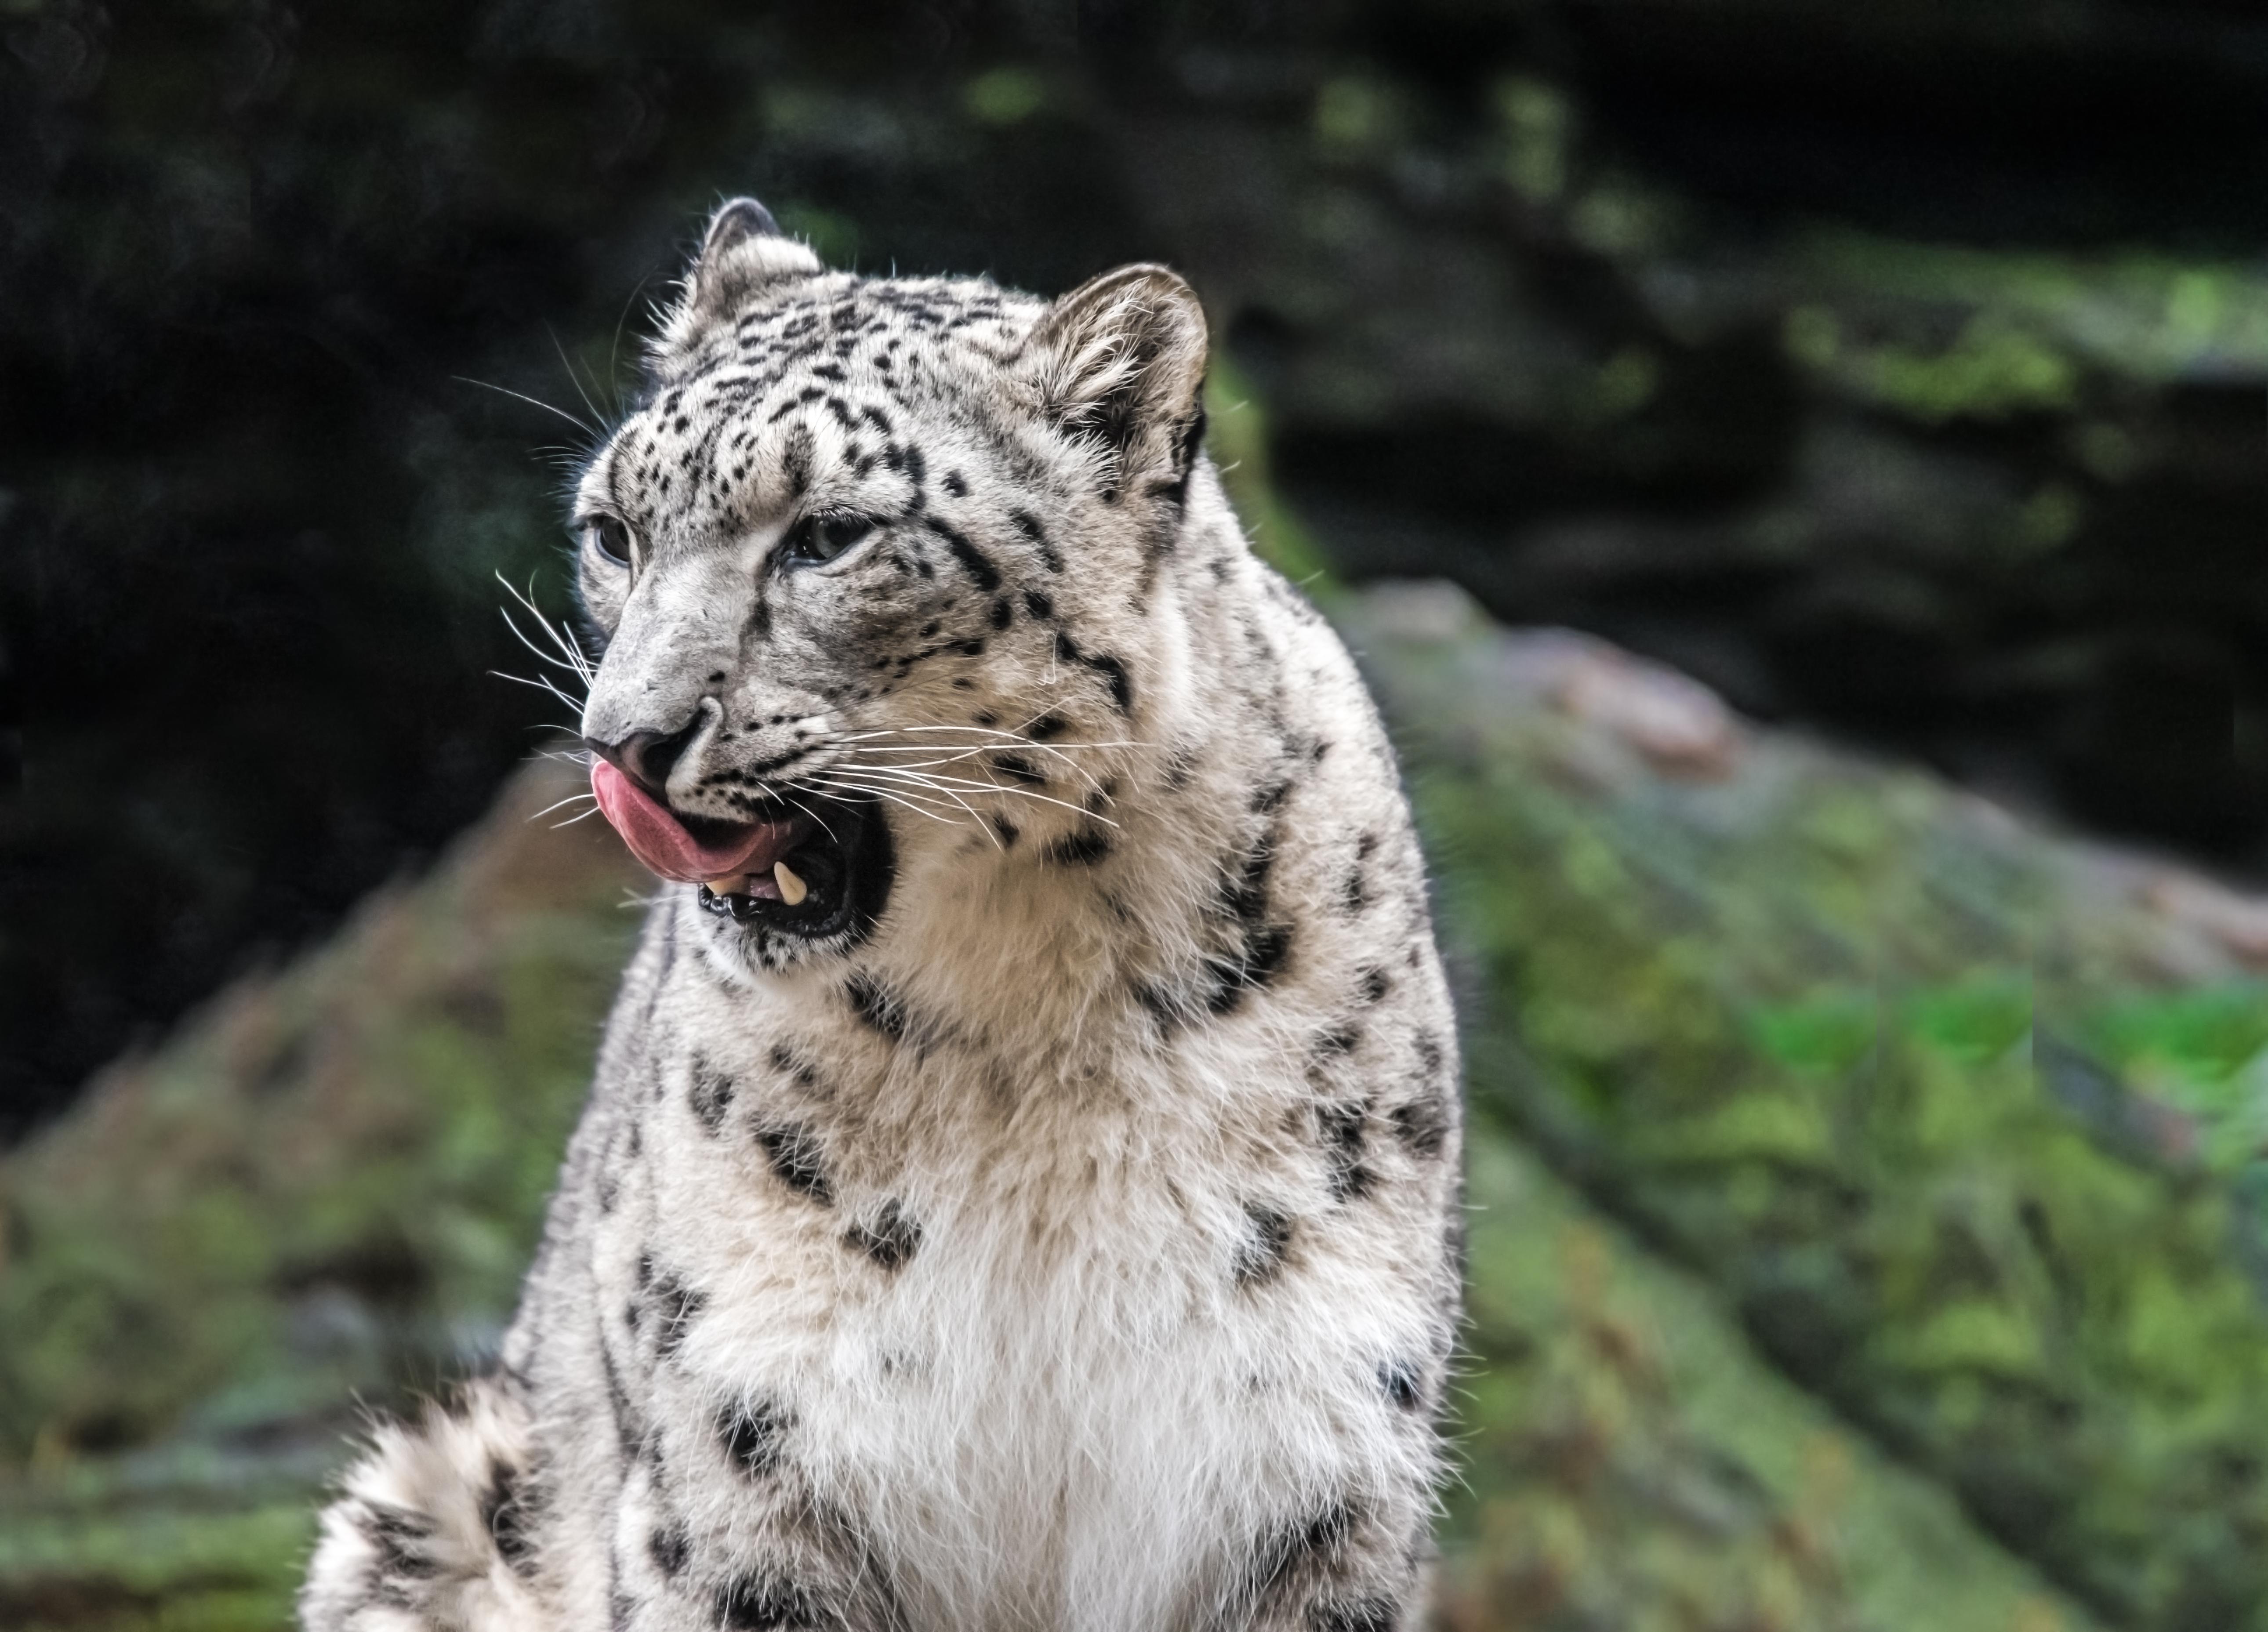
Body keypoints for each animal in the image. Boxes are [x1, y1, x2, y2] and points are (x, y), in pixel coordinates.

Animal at [301, 200, 1460, 1632]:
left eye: (827, 535)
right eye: (614, 532)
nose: (624, 740)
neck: (1037, 1017)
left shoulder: (1306, 1452)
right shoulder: (745, 1455)